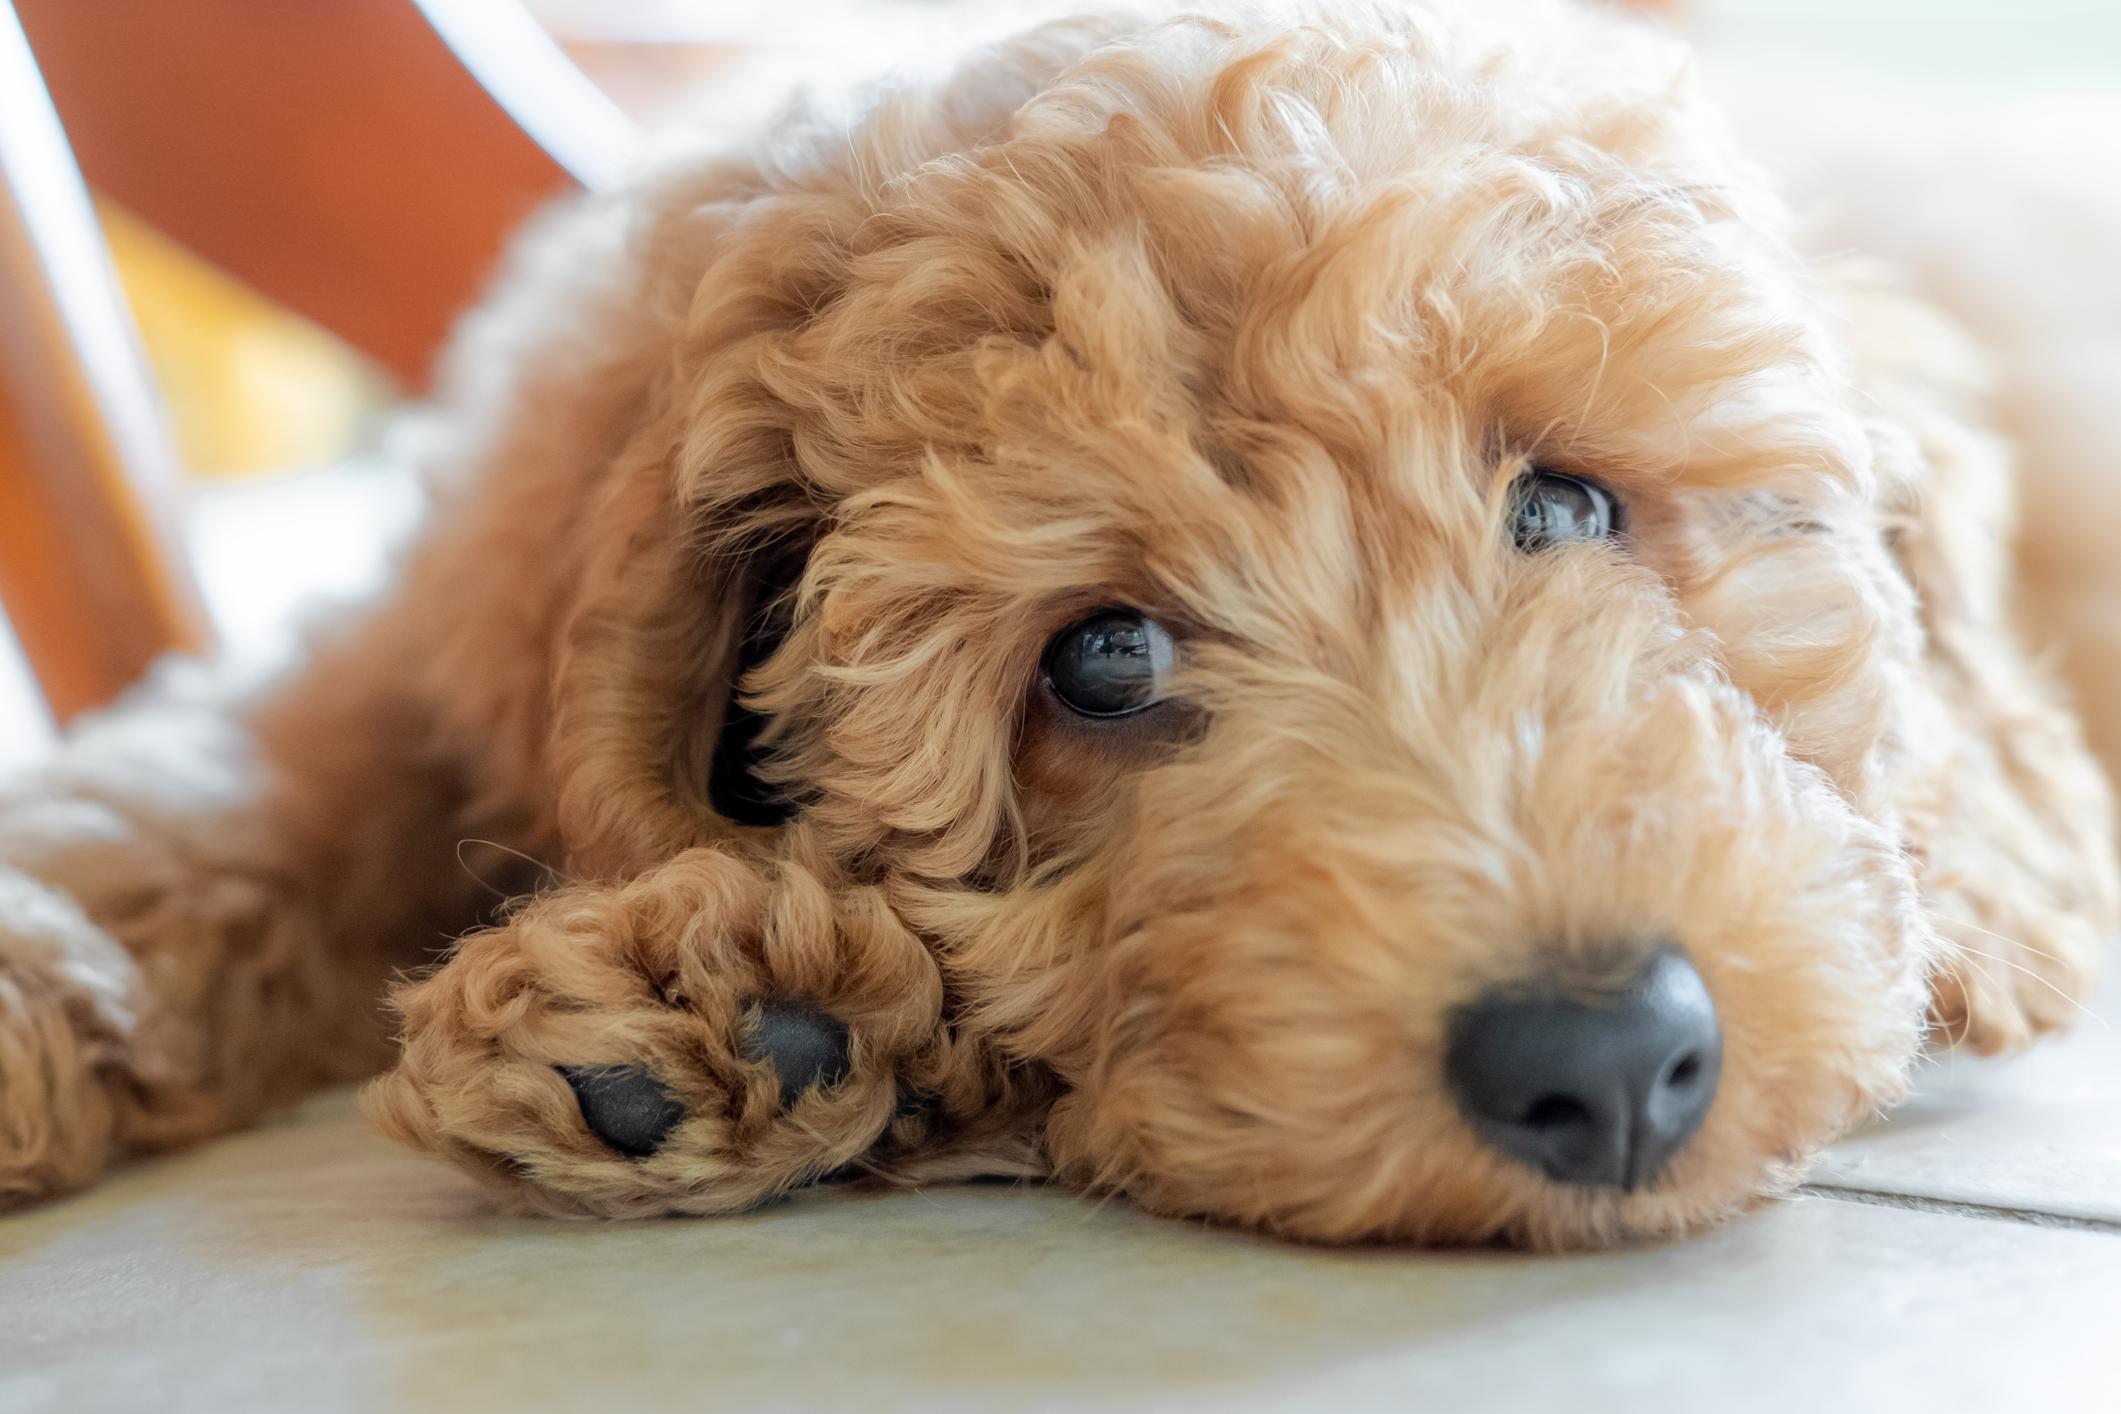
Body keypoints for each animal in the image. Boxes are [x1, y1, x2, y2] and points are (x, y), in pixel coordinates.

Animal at [4, 0, 2121, 1246]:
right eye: (1099, 658)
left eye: (1571, 504)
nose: (1603, 1060)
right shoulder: (443, 611)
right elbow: (246, 774)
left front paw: (712, 996)